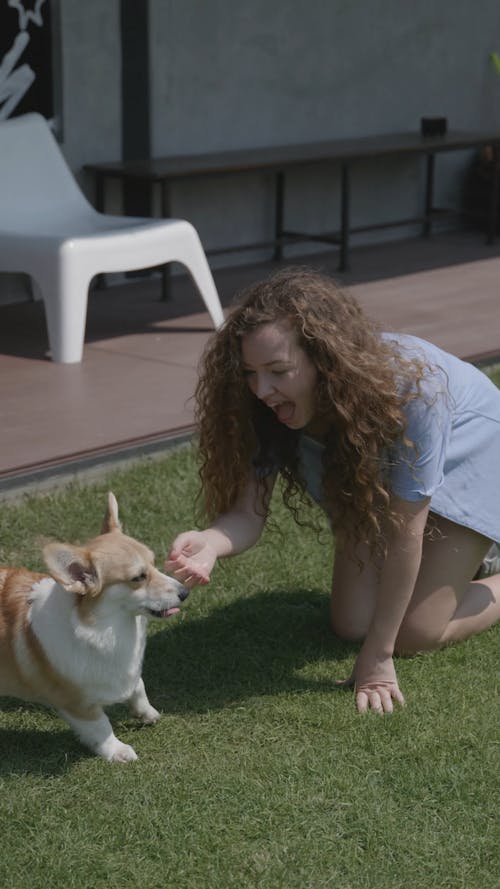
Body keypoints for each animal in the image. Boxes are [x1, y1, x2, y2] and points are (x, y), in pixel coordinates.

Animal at [0, 490, 188, 760]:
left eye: (154, 563)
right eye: (138, 577)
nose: (185, 592)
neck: (109, 629)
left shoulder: (128, 673)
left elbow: (138, 687)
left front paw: (147, 713)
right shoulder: (78, 704)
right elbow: (101, 727)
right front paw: (118, 751)